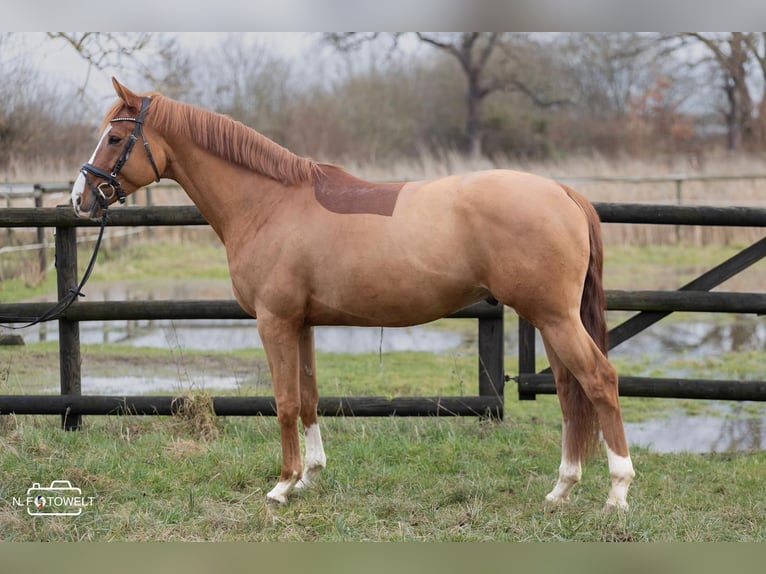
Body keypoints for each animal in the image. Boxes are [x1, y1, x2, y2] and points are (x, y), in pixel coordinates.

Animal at [70, 77, 636, 512]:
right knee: (569, 389)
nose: (80, 198)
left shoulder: (274, 322)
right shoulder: (301, 324)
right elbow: (309, 398)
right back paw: (561, 490)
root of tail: (562, 191)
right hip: (549, 318)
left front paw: (282, 485)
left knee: (599, 380)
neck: (269, 203)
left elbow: (283, 402)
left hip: (555, 317)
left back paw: (617, 494)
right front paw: (310, 476)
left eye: (115, 137)